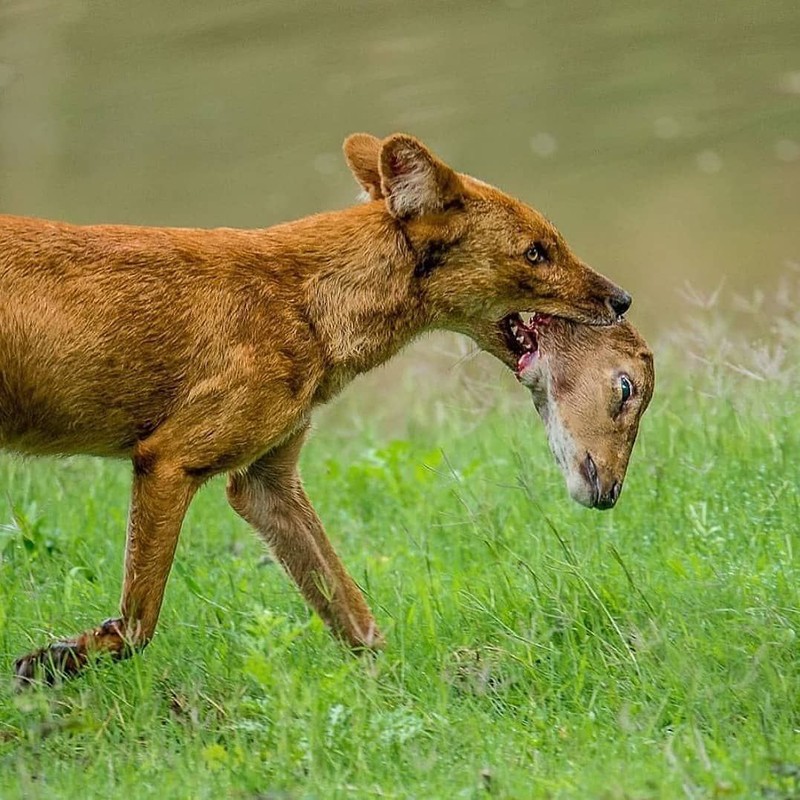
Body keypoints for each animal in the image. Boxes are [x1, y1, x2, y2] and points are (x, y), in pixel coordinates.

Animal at [4, 134, 632, 684]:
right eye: (536, 252)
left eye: (554, 242)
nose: (623, 299)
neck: (310, 302)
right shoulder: (168, 460)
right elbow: (138, 624)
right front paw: (52, 661)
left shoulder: (264, 482)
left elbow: (353, 613)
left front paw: (406, 696)